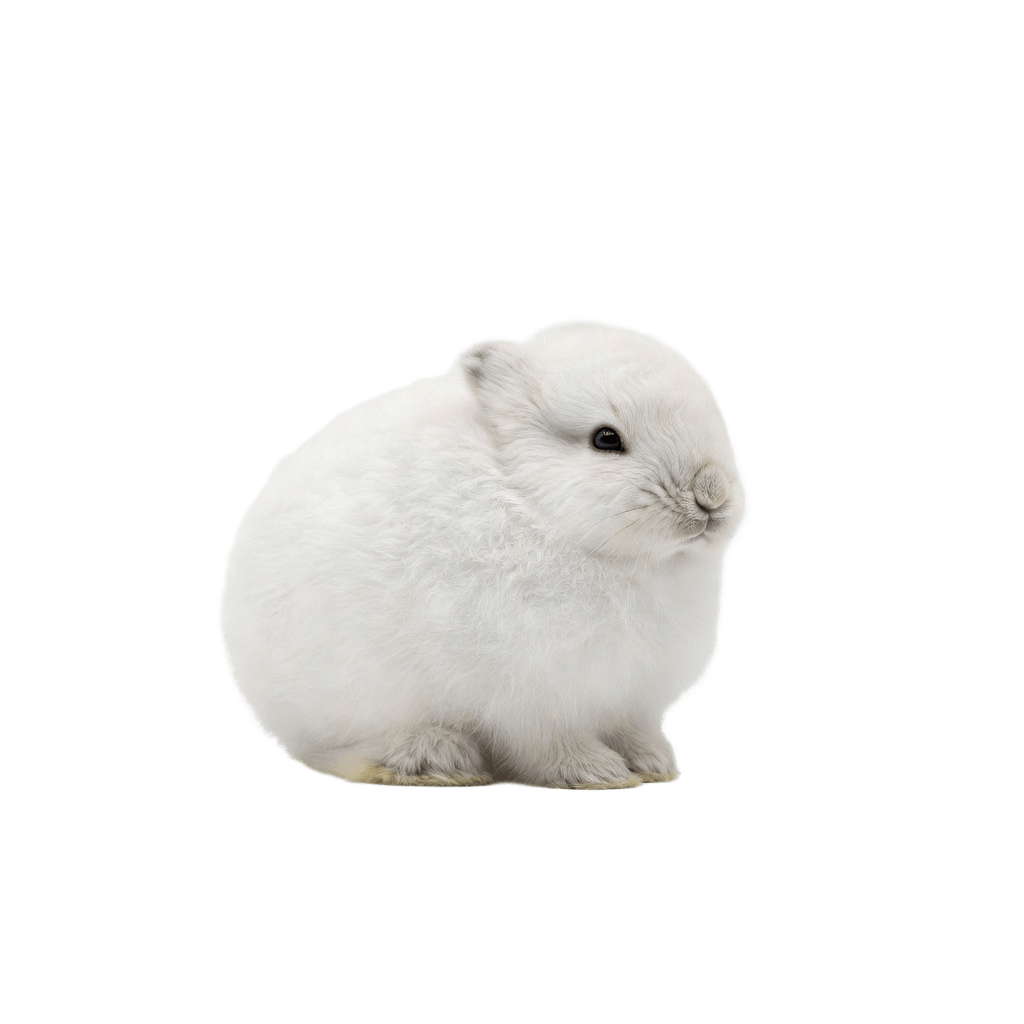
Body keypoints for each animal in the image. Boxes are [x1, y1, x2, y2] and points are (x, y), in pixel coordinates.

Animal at [217, 316, 753, 790]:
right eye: (606, 439)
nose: (711, 496)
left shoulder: (627, 698)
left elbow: (632, 729)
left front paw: (653, 764)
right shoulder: (533, 695)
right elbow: (548, 744)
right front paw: (597, 773)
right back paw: (436, 760)